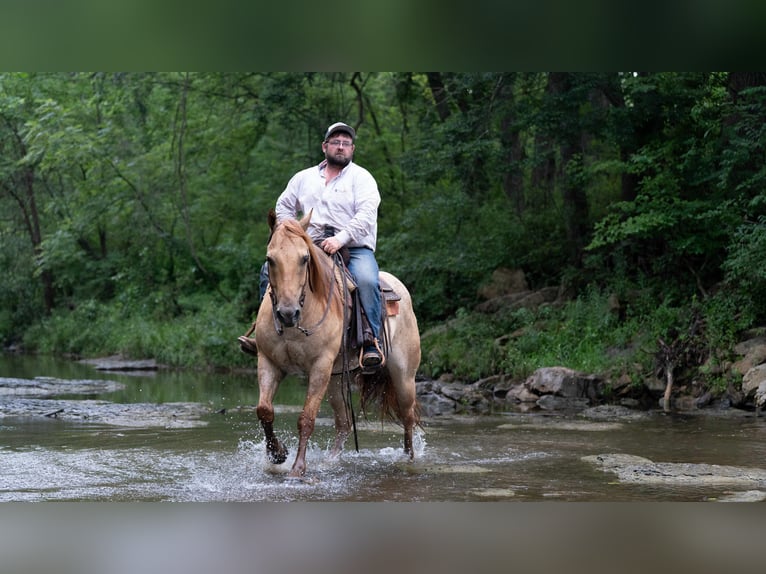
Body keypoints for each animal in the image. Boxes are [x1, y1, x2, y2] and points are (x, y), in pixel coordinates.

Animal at [253, 210, 421, 478]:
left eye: (304, 258)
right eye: (270, 259)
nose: (287, 314)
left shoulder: (319, 367)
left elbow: (307, 418)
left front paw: (298, 468)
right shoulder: (268, 362)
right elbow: (264, 410)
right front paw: (277, 454)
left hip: (404, 377)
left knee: (407, 418)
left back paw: (408, 459)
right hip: (336, 379)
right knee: (344, 422)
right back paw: (331, 461)